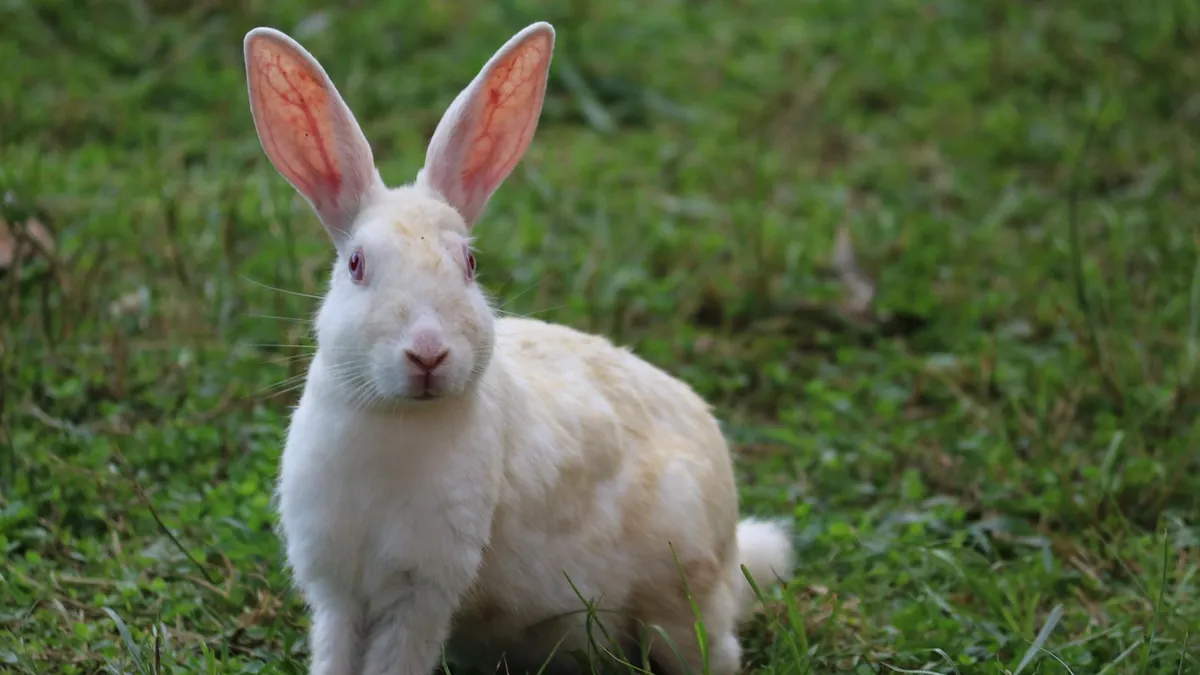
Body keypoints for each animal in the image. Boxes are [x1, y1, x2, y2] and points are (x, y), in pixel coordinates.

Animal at [243, 20, 794, 675]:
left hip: (679, 607)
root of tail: (733, 543)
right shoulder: (337, 591)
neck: (395, 418)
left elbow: (398, 656)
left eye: (470, 264)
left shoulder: (421, 589)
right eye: (356, 265)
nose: (428, 354)